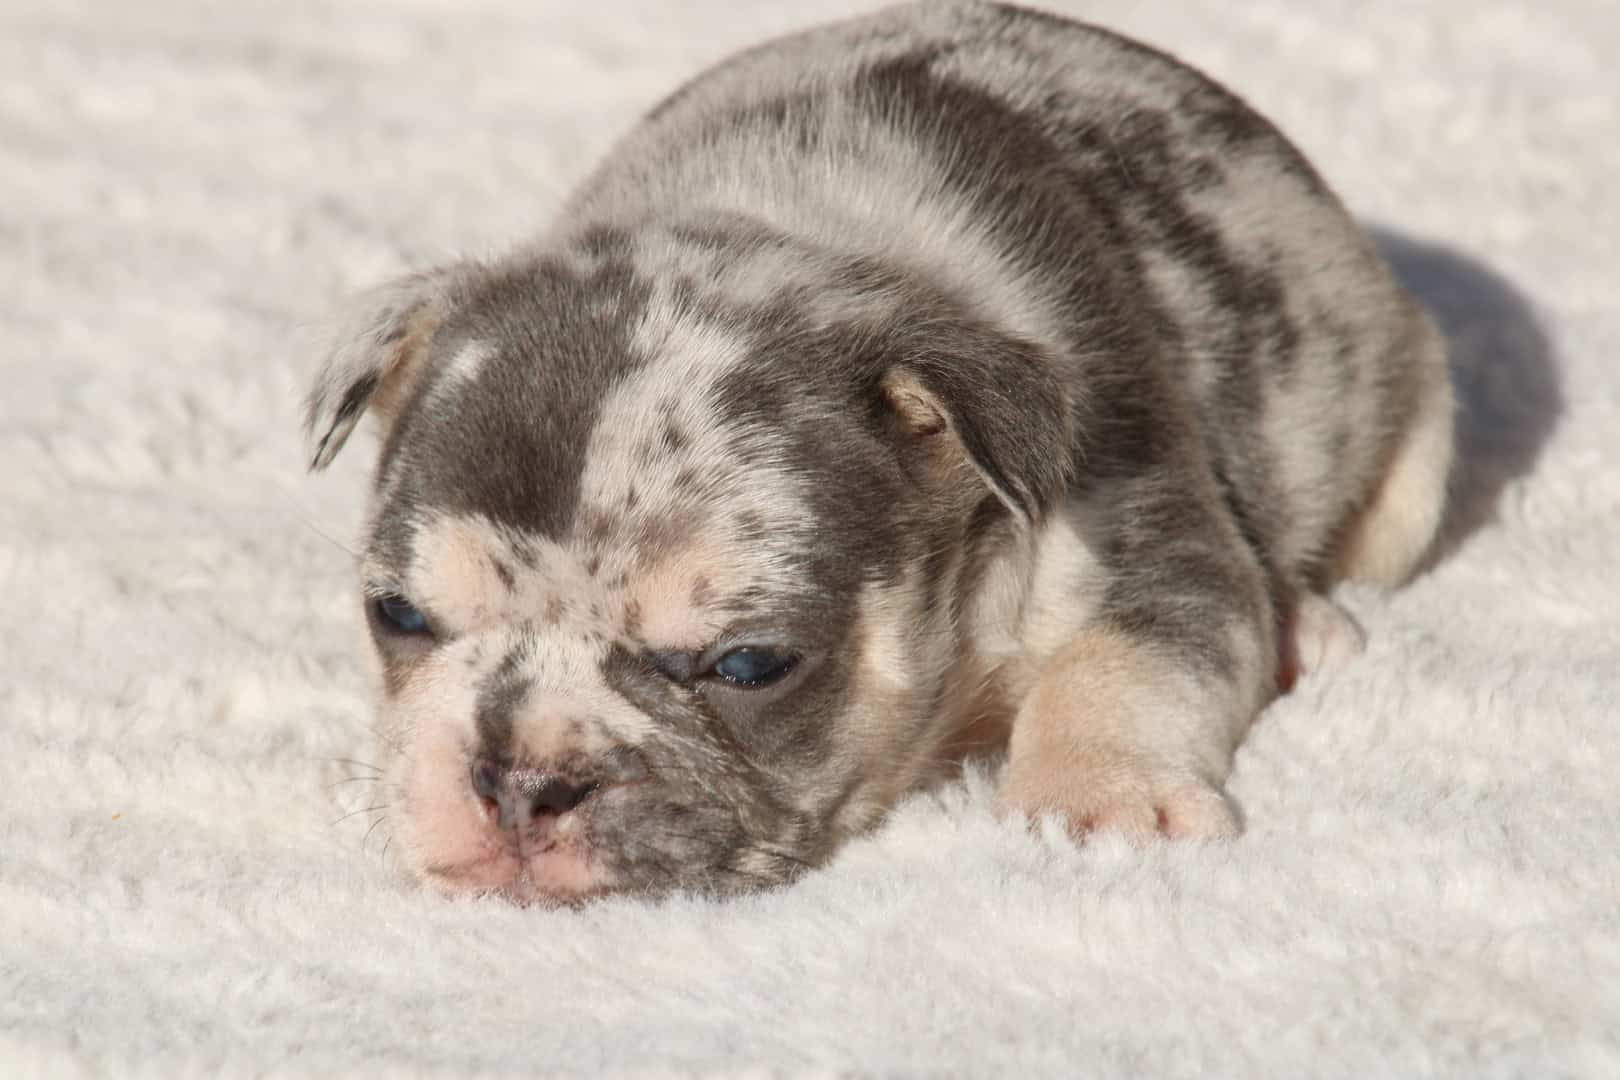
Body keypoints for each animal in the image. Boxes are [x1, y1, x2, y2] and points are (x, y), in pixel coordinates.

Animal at [304, 0, 1458, 906]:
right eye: (397, 615)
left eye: (749, 664)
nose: (517, 782)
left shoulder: (1134, 516)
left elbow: (1126, 658)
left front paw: (1100, 804)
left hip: (1416, 453)